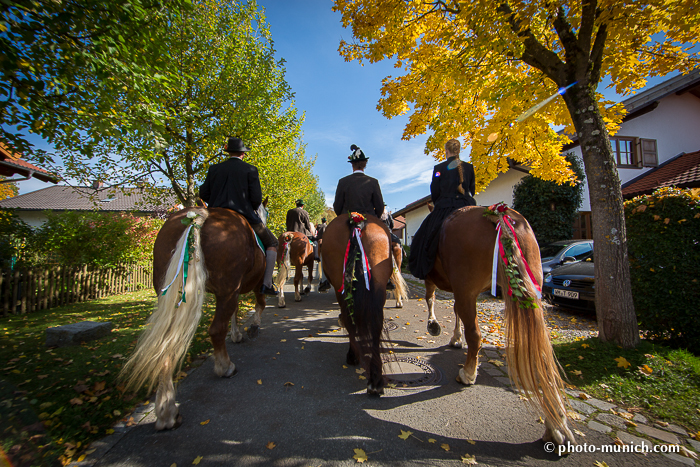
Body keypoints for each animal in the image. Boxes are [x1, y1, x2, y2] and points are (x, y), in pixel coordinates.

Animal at [120, 203, 268, 430]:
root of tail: (197, 216)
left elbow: (235, 313)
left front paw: (237, 335)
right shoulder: (252, 285)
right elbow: (259, 304)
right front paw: (252, 328)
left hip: (170, 292)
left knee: (166, 343)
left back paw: (167, 411)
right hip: (227, 289)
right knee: (216, 330)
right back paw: (225, 367)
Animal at [422, 207, 576, 446]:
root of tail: (499, 213)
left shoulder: (441, 282)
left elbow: (431, 298)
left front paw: (435, 325)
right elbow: (454, 311)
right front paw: (455, 338)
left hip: (467, 291)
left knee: (475, 335)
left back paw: (468, 374)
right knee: (541, 353)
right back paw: (557, 423)